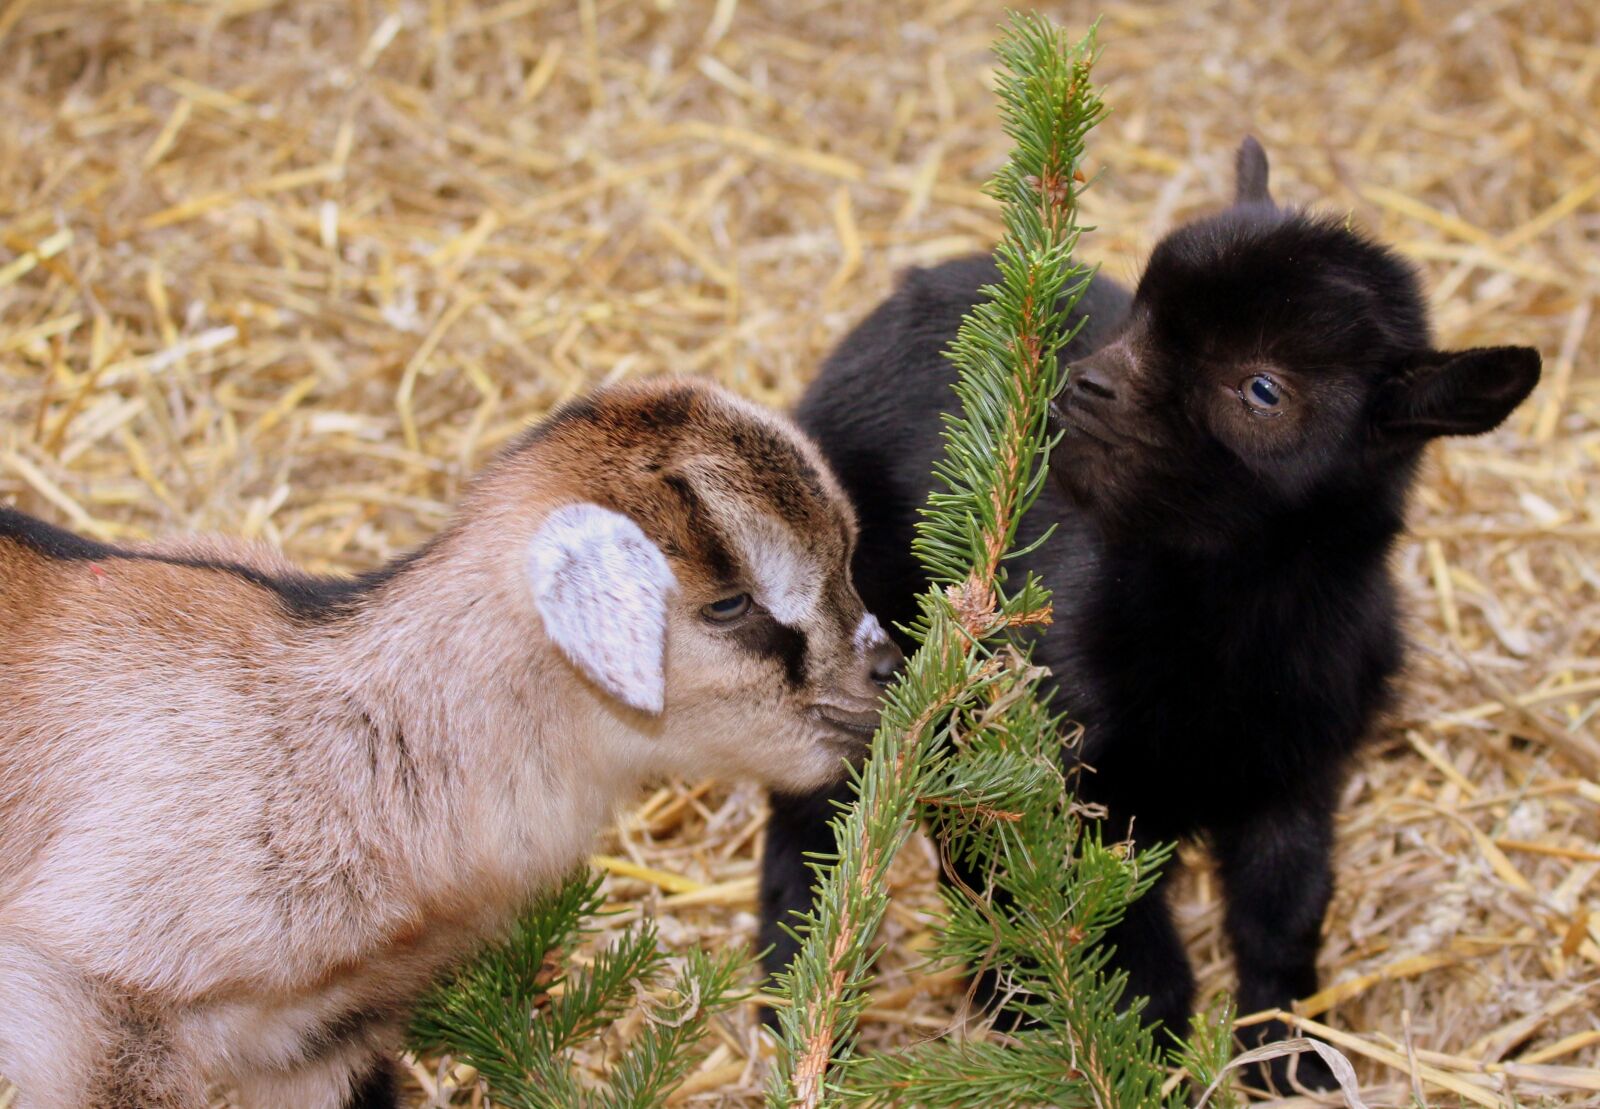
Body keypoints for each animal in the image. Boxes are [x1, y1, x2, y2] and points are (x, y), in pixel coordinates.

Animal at [759, 139, 1540, 1091]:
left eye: (1264, 388)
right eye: (1142, 315)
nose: (1087, 384)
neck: (1227, 623)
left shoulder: (1297, 777)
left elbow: (1284, 918)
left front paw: (1292, 1061)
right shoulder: (1076, 785)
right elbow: (1128, 954)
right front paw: (1143, 1065)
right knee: (820, 822)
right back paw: (796, 991)